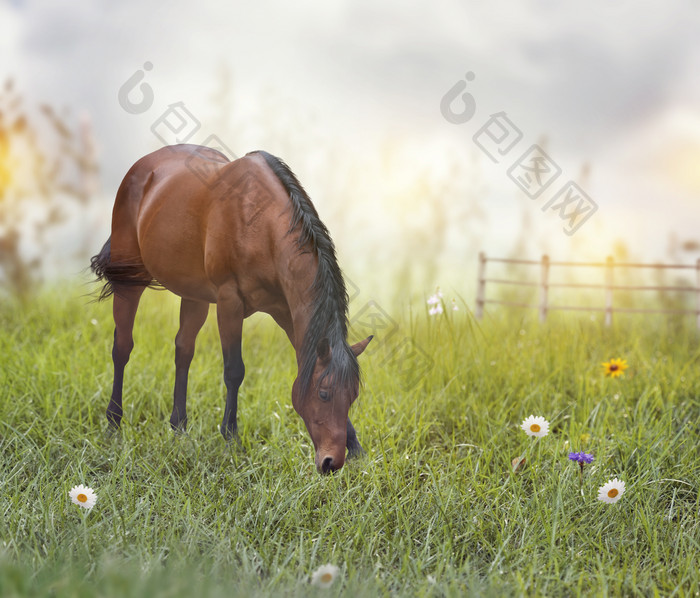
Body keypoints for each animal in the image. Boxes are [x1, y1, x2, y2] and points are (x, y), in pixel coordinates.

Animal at [90, 145, 372, 474]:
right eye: (324, 394)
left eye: (352, 396)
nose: (332, 462)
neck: (259, 225)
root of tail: (142, 166)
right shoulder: (229, 302)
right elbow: (234, 370)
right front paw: (231, 437)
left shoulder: (289, 313)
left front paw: (356, 447)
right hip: (130, 280)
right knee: (122, 347)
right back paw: (113, 422)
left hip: (195, 295)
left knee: (183, 350)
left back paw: (179, 428)